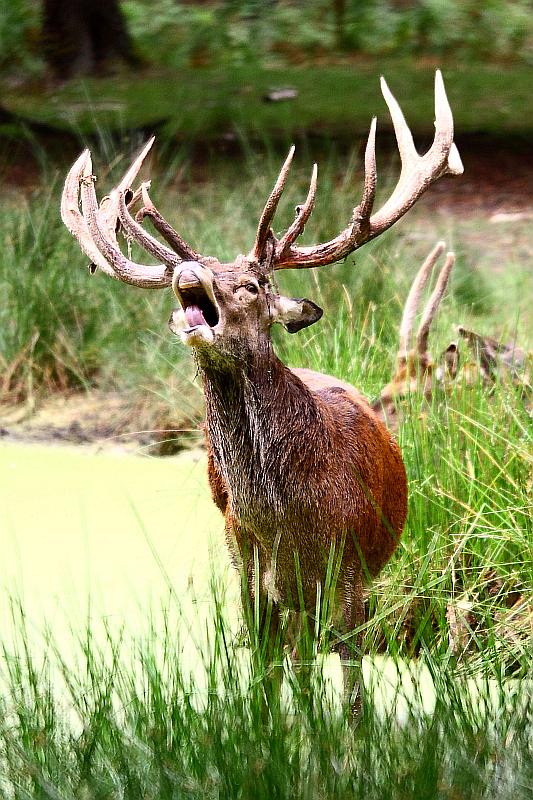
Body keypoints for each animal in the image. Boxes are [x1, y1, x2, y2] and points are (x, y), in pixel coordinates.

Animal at [61, 72, 462, 716]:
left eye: (251, 284)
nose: (187, 272)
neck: (286, 514)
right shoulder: (244, 554)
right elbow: (265, 664)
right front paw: (270, 727)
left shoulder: (350, 562)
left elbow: (352, 679)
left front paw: (345, 732)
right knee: (293, 653)